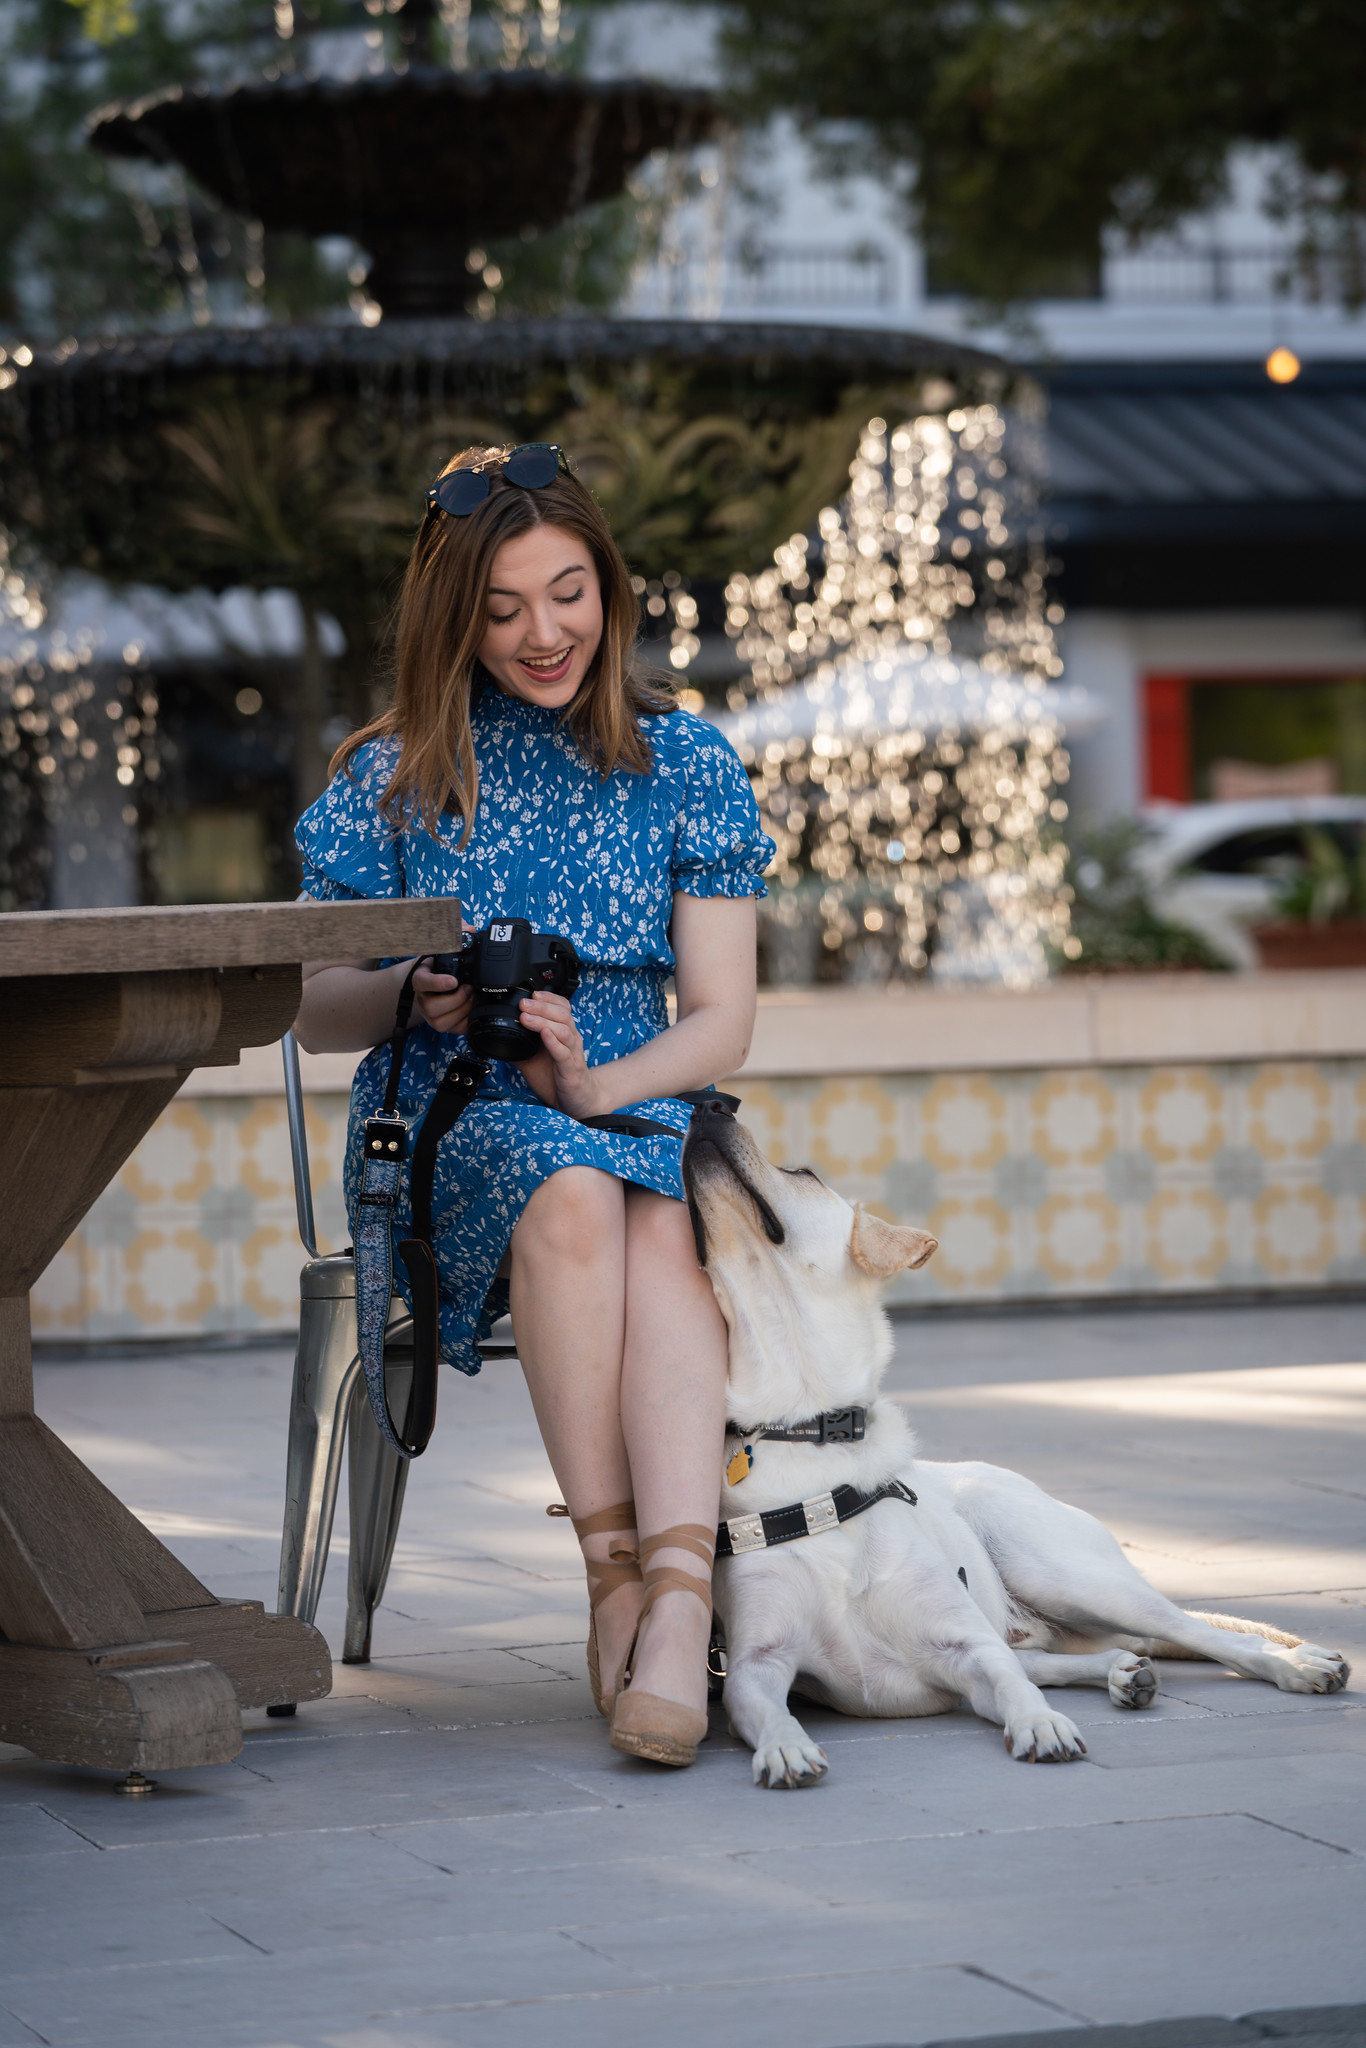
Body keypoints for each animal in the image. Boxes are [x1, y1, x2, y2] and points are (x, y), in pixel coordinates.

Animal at [688, 1097, 1351, 1785]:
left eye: (804, 1173)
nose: (709, 1105)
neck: (805, 1434)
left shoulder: (968, 1641)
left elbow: (1013, 1687)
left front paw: (1040, 1725)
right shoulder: (754, 1665)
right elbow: (766, 1707)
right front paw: (784, 1746)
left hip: (1063, 1573)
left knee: (1197, 1631)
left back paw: (1297, 1665)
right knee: (1067, 1655)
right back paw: (1120, 1672)